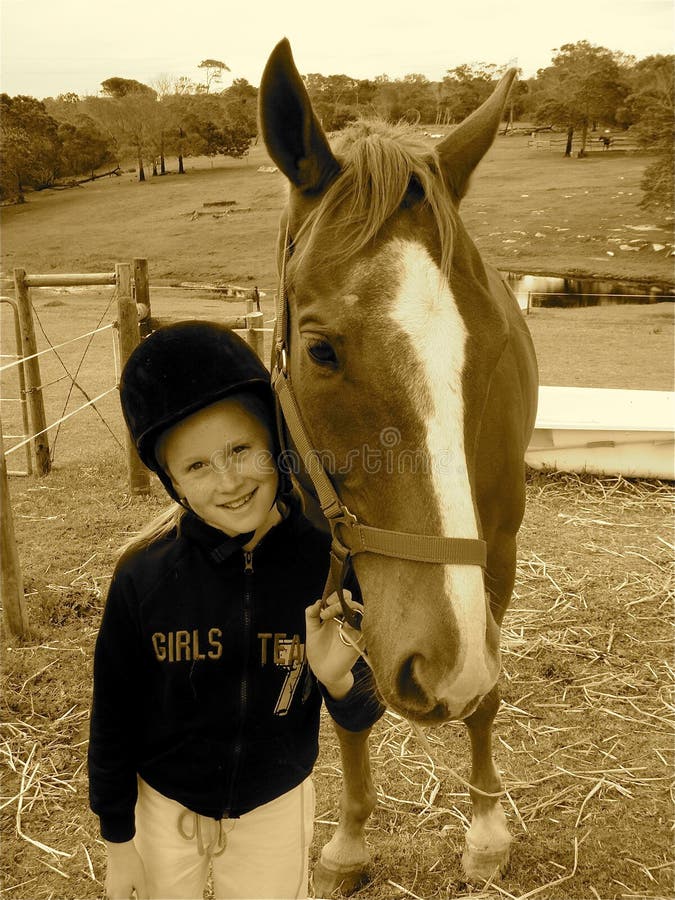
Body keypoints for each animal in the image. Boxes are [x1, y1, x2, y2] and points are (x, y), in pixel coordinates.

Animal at [258, 40, 540, 892]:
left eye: (490, 344)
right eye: (320, 349)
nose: (438, 663)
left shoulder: (494, 553)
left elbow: (485, 692)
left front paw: (484, 832)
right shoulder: (319, 565)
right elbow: (343, 702)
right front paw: (349, 839)